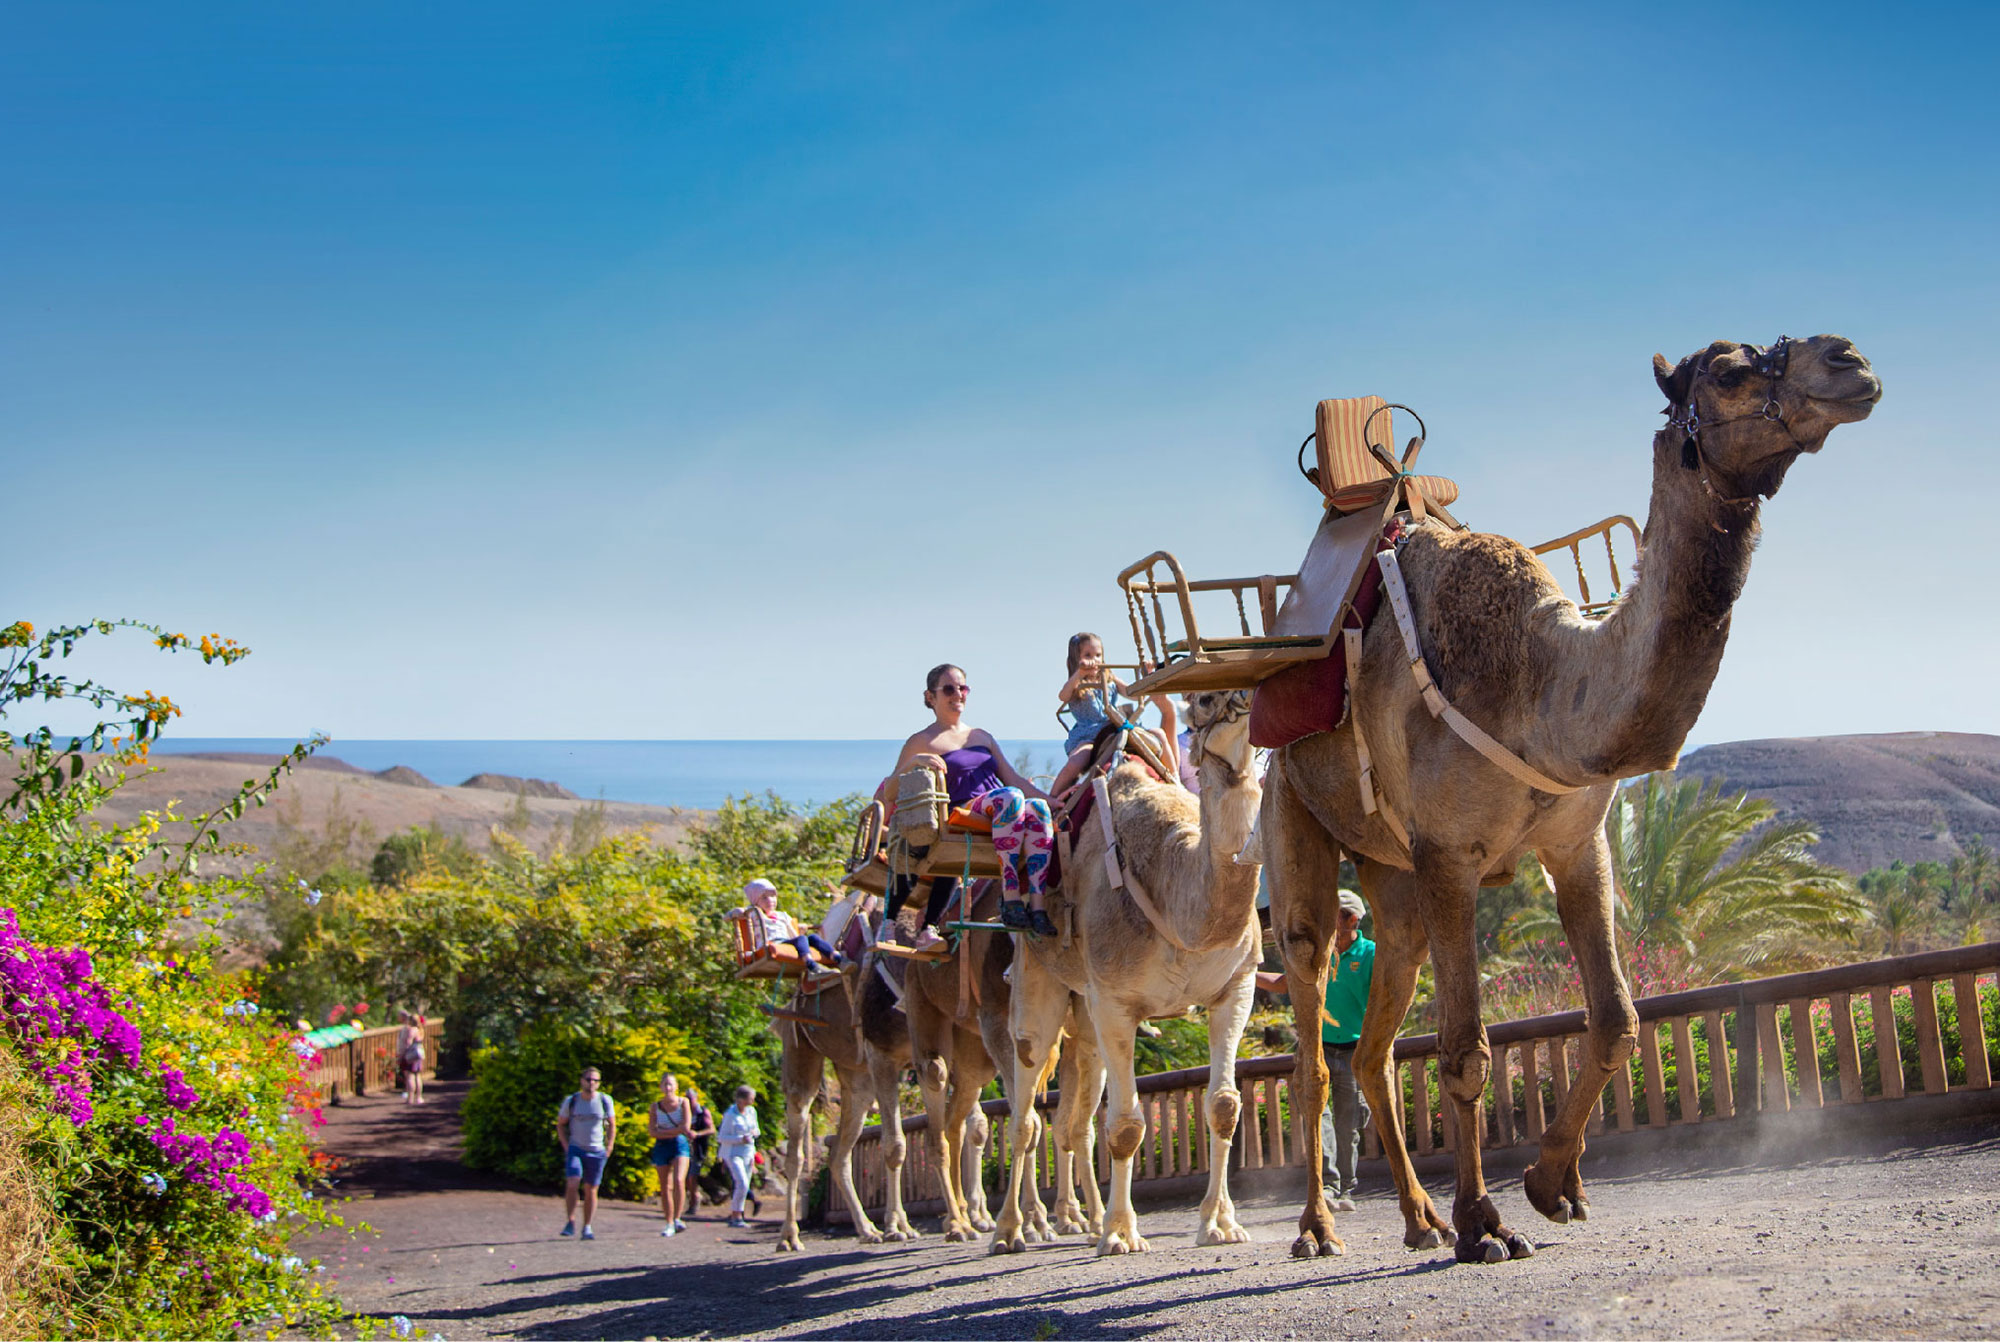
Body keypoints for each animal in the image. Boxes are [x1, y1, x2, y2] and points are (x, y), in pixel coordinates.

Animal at [1000, 692, 1264, 1264]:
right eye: (1202, 701)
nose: (1242, 698)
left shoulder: (1236, 986)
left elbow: (1224, 1106)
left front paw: (1220, 1224)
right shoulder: (1116, 1001)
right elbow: (1125, 1126)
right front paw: (1121, 1235)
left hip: (1085, 1015)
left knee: (1074, 1120)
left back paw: (1081, 1219)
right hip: (1038, 976)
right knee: (1025, 1110)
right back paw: (1012, 1231)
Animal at [1272, 336, 1880, 1264]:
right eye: (1730, 370)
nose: (1851, 362)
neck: (1540, 686)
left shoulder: (1577, 843)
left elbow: (1616, 1021)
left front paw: (1553, 1186)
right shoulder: (1449, 854)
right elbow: (1466, 1052)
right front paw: (1486, 1225)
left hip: (1391, 881)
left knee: (1373, 1046)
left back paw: (1418, 1218)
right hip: (1291, 809)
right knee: (1310, 1030)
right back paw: (1320, 1227)